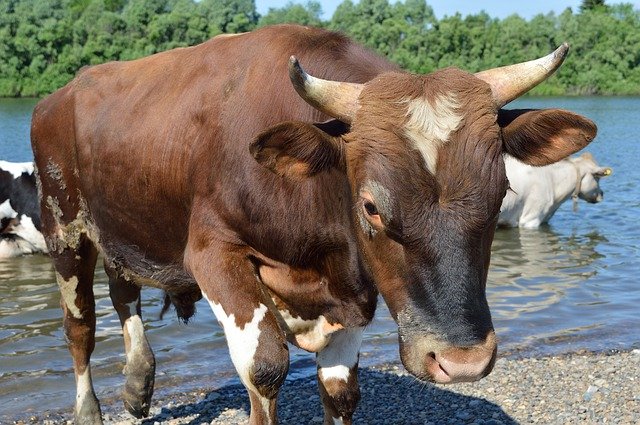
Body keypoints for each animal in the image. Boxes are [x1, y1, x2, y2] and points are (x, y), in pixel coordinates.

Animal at [30, 24, 596, 422]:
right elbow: (265, 367)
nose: (462, 361)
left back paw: (138, 384)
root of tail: (63, 93)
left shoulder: (350, 294)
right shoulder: (212, 252)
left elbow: (341, 390)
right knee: (80, 327)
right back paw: (89, 410)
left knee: (125, 291)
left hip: (123, 227)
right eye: (370, 206)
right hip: (64, 230)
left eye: (501, 194)